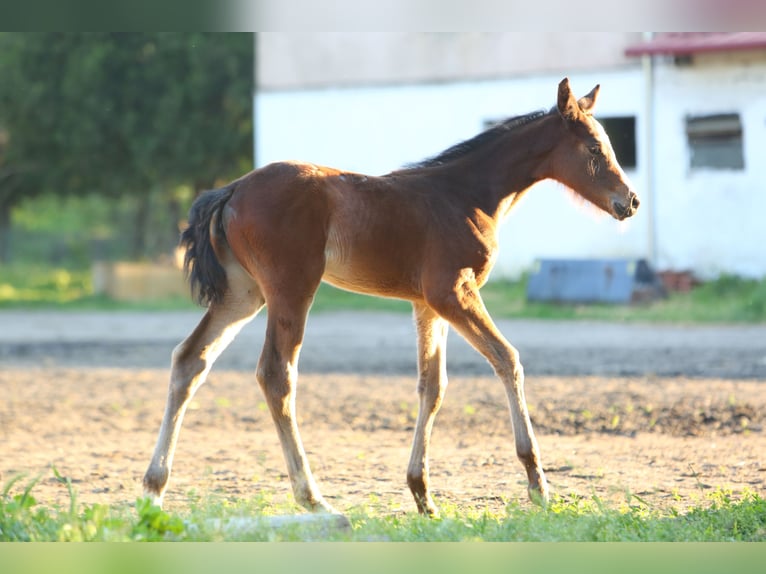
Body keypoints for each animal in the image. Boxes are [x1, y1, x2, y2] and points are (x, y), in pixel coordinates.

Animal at [143, 78, 639, 519]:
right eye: (594, 149)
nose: (630, 201)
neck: (466, 195)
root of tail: (232, 189)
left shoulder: (428, 304)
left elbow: (432, 386)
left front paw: (422, 494)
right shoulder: (452, 291)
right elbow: (507, 358)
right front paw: (538, 486)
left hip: (243, 293)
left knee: (190, 359)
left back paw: (153, 490)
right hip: (291, 288)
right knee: (276, 375)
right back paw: (314, 499)